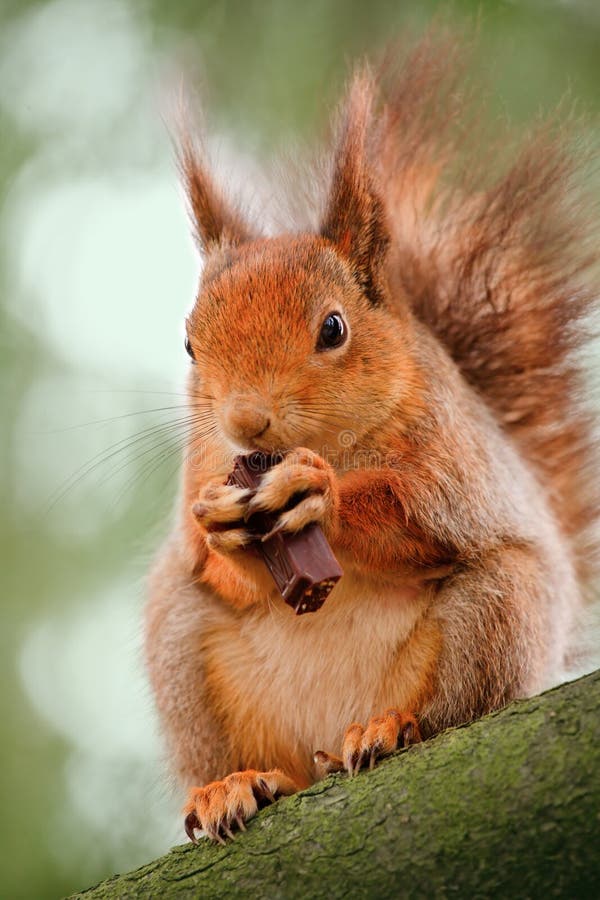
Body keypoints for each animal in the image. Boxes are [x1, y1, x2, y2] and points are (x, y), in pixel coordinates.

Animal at [145, 35, 599, 845]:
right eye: (191, 345)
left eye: (333, 328)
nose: (244, 421)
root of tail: (326, 739)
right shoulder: (204, 463)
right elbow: (213, 558)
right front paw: (219, 526)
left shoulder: (453, 459)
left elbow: (419, 514)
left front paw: (319, 497)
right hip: (183, 650)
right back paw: (234, 785)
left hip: (499, 611)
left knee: (450, 710)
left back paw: (388, 729)